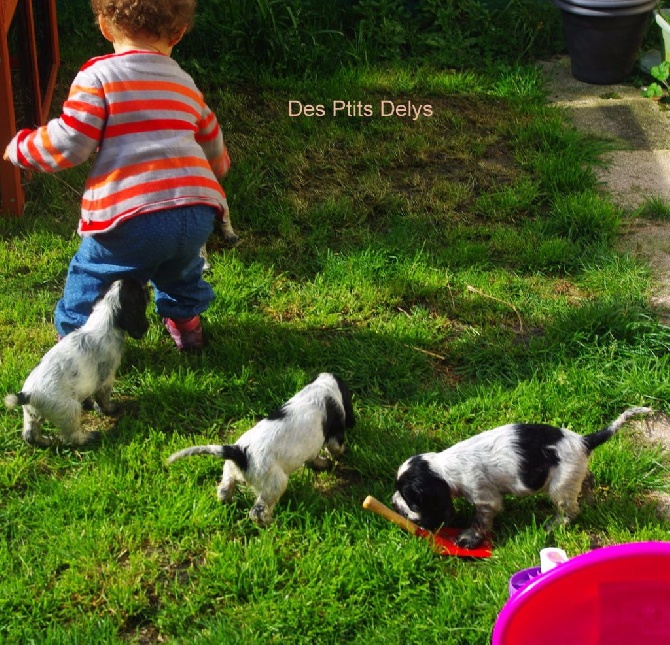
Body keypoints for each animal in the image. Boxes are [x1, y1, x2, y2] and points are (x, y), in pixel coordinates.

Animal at [4, 276, 149, 448]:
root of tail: (28, 394)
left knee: (30, 436)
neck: (105, 318)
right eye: (141, 294)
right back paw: (88, 437)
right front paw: (110, 410)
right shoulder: (105, 380)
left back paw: (46, 441)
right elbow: (103, 400)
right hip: (70, 411)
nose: (147, 287)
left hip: (31, 415)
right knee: (70, 438)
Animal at [168, 372, 356, 524]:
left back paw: (228, 503)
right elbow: (336, 448)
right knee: (257, 511)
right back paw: (271, 522)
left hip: (230, 470)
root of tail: (239, 453)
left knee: (223, 489)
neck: (321, 387)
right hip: (274, 484)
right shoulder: (335, 434)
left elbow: (313, 458)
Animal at [394, 406, 652, 544]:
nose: (393, 503)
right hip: (575, 473)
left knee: (569, 510)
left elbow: (480, 521)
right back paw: (588, 500)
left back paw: (553, 525)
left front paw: (468, 538)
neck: (446, 468)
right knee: (587, 481)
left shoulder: (485, 498)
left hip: (560, 485)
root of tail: (583, 440)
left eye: (411, 501)